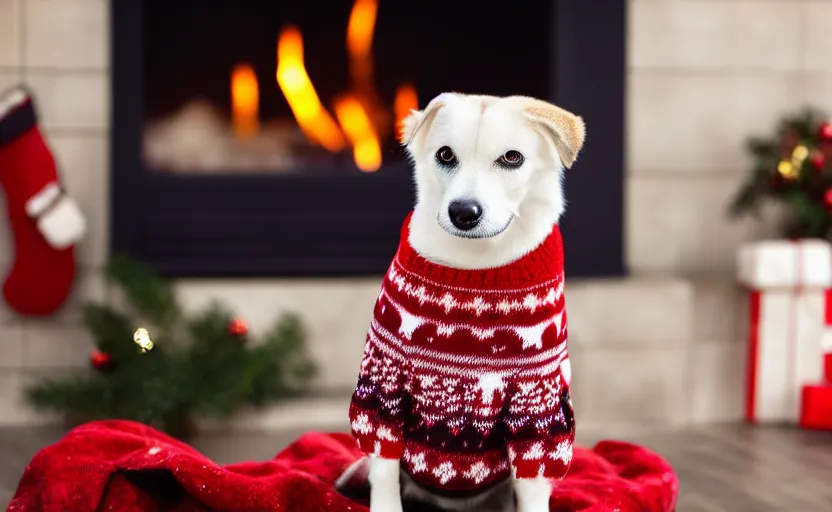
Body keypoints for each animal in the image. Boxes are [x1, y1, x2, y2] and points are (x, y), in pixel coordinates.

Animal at [338, 92, 584, 512]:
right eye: (445, 154)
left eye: (512, 158)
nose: (463, 212)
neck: (476, 265)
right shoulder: (385, 382)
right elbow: (383, 465)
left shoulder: (539, 404)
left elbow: (534, 480)